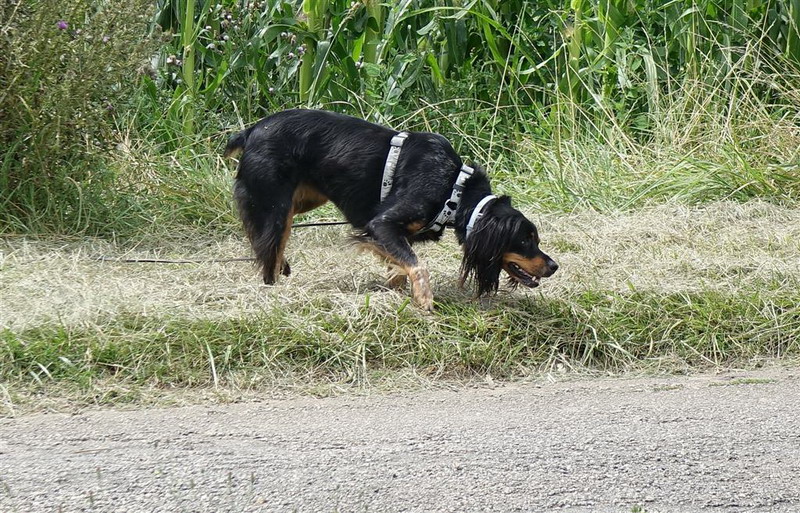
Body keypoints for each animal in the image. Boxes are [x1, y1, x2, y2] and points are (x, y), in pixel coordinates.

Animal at [224, 109, 557, 311]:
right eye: (525, 240)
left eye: (536, 240)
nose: (554, 266)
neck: (454, 189)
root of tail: (251, 130)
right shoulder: (381, 224)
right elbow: (419, 266)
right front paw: (425, 301)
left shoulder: (393, 235)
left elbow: (401, 267)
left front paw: (394, 292)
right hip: (276, 208)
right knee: (267, 252)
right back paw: (273, 290)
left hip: (300, 202)